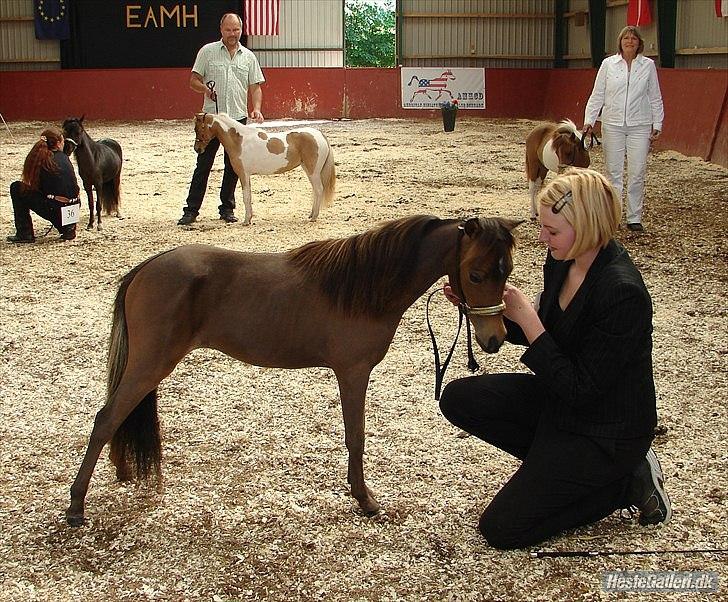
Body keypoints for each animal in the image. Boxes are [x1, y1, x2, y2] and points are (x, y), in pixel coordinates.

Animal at [65, 213, 520, 524]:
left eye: (508, 271)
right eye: (475, 274)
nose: (495, 338)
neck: (363, 286)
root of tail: (146, 268)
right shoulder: (353, 372)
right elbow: (356, 436)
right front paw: (364, 499)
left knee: (118, 415)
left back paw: (121, 471)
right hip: (150, 363)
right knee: (107, 417)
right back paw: (76, 505)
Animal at [191, 111, 336, 224]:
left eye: (198, 129)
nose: (197, 149)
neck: (239, 141)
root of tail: (319, 135)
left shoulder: (243, 174)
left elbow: (246, 197)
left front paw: (246, 221)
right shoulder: (246, 176)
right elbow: (248, 196)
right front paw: (249, 218)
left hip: (313, 171)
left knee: (318, 190)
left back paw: (314, 217)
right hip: (308, 169)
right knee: (315, 191)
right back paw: (311, 214)